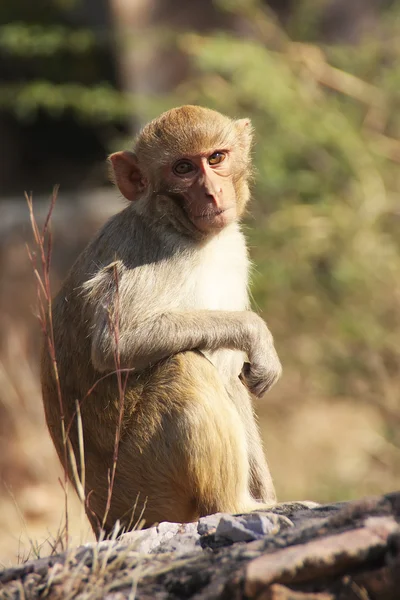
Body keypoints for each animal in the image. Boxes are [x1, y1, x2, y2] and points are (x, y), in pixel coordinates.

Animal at [41, 105, 282, 536]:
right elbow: (115, 344)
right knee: (184, 364)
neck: (186, 232)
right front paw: (256, 334)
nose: (212, 192)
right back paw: (234, 506)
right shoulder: (151, 257)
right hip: (143, 489)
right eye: (183, 168)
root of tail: (102, 521)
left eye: (216, 158)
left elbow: (234, 376)